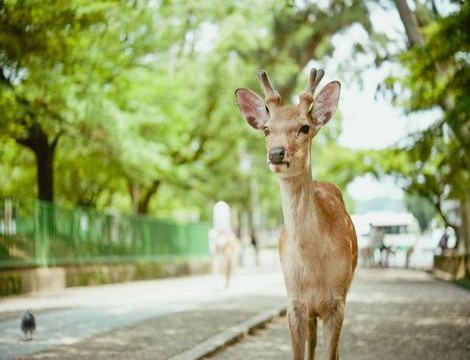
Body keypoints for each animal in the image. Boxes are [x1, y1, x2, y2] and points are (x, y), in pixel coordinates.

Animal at [233, 68, 358, 360]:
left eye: (304, 127)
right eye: (267, 129)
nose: (276, 153)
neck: (313, 272)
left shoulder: (337, 301)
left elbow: (331, 354)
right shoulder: (294, 302)